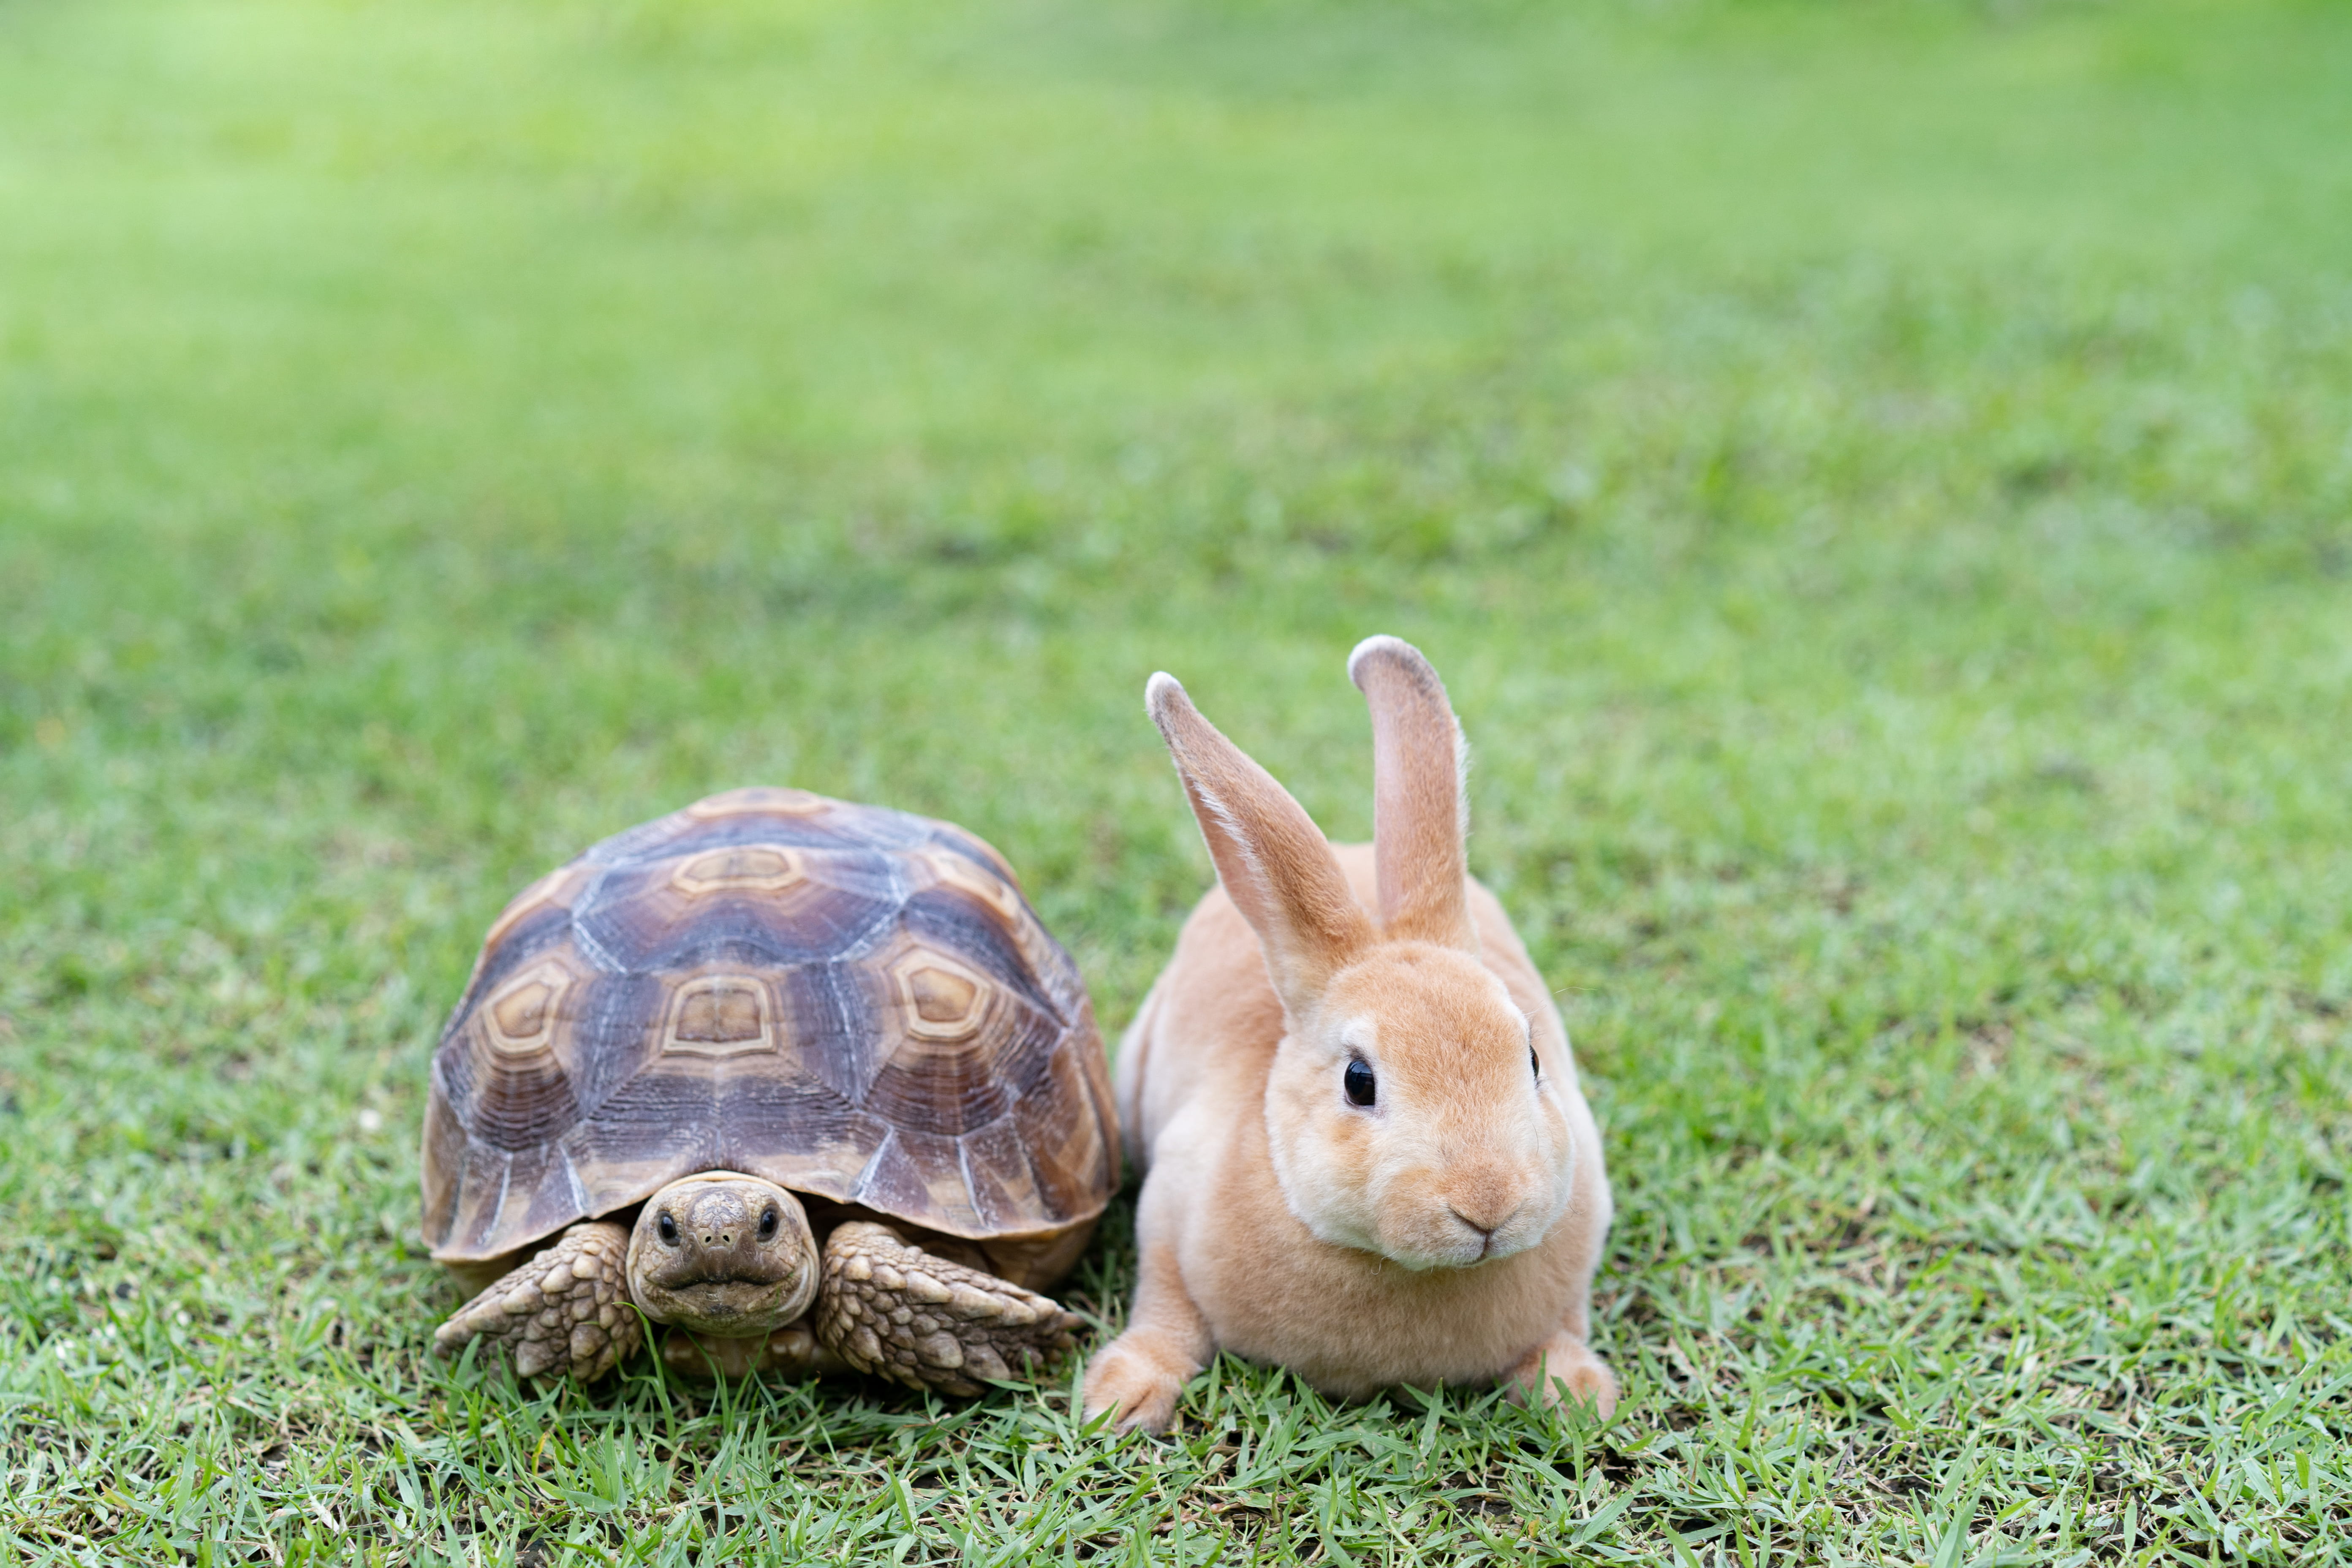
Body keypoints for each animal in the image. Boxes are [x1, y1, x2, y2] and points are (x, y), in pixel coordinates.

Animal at [1082, 635, 1618, 1438]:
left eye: (1530, 1057)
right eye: (1357, 1081)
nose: (1487, 1203)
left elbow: (1564, 1324)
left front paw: (1578, 1397)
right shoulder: (1166, 1217)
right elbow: (1164, 1313)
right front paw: (1117, 1400)